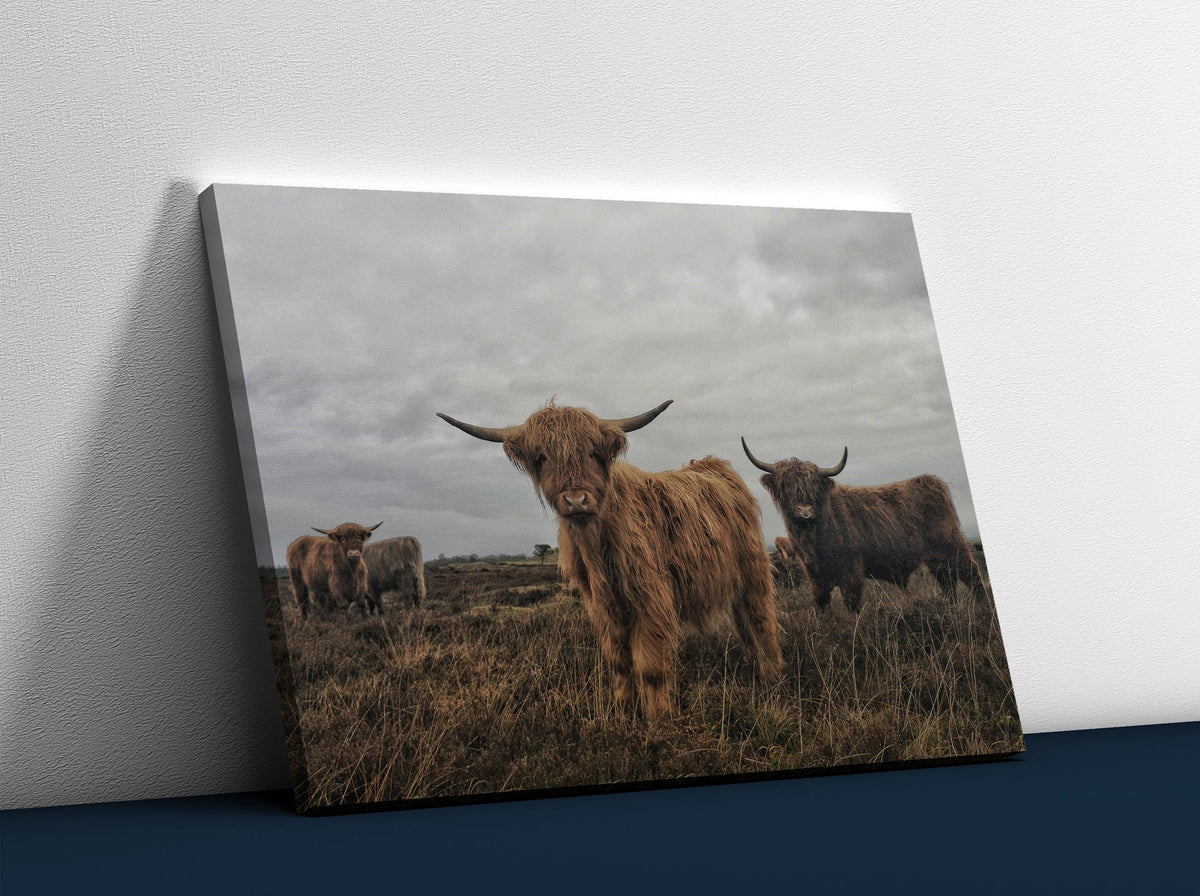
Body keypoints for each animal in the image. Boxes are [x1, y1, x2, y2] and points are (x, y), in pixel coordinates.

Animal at [438, 400, 781, 719]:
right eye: (542, 457)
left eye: (593, 452)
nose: (576, 500)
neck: (597, 547)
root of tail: (715, 465)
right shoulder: (603, 606)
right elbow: (619, 662)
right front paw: (625, 710)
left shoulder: (651, 598)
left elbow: (650, 667)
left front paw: (659, 720)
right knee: (743, 623)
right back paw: (753, 666)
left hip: (752, 568)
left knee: (761, 619)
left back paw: (771, 679)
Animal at [742, 439, 988, 613]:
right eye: (786, 486)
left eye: (813, 487)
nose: (804, 511)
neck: (813, 538)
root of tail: (930, 481)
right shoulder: (815, 576)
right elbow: (822, 605)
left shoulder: (851, 572)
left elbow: (852, 604)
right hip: (934, 558)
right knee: (947, 580)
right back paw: (951, 607)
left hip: (952, 544)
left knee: (971, 573)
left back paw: (982, 609)